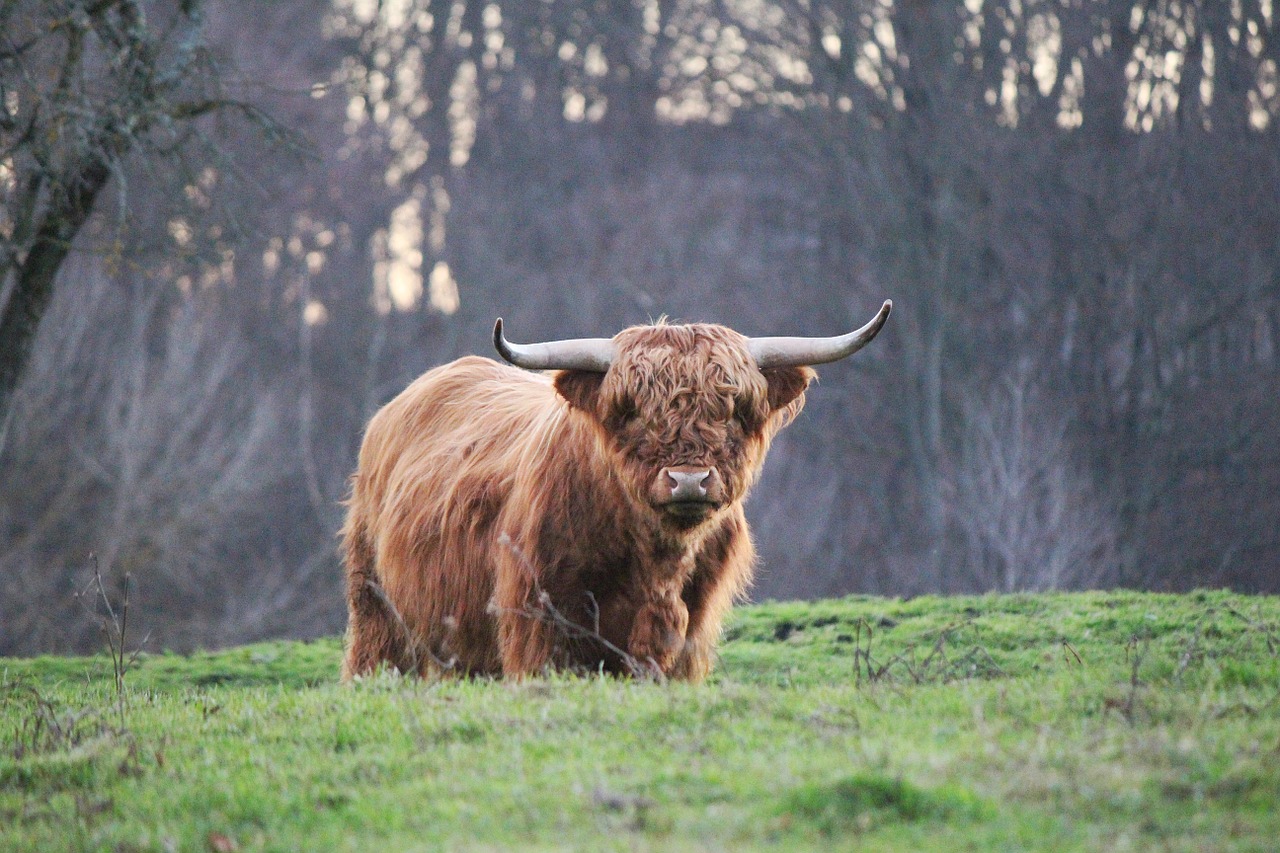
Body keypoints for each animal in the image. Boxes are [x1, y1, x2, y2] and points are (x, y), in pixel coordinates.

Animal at [340, 298, 890, 676]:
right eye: (632, 412)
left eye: (732, 410)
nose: (688, 480)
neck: (656, 564)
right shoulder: (539, 623)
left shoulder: (688, 634)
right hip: (377, 608)